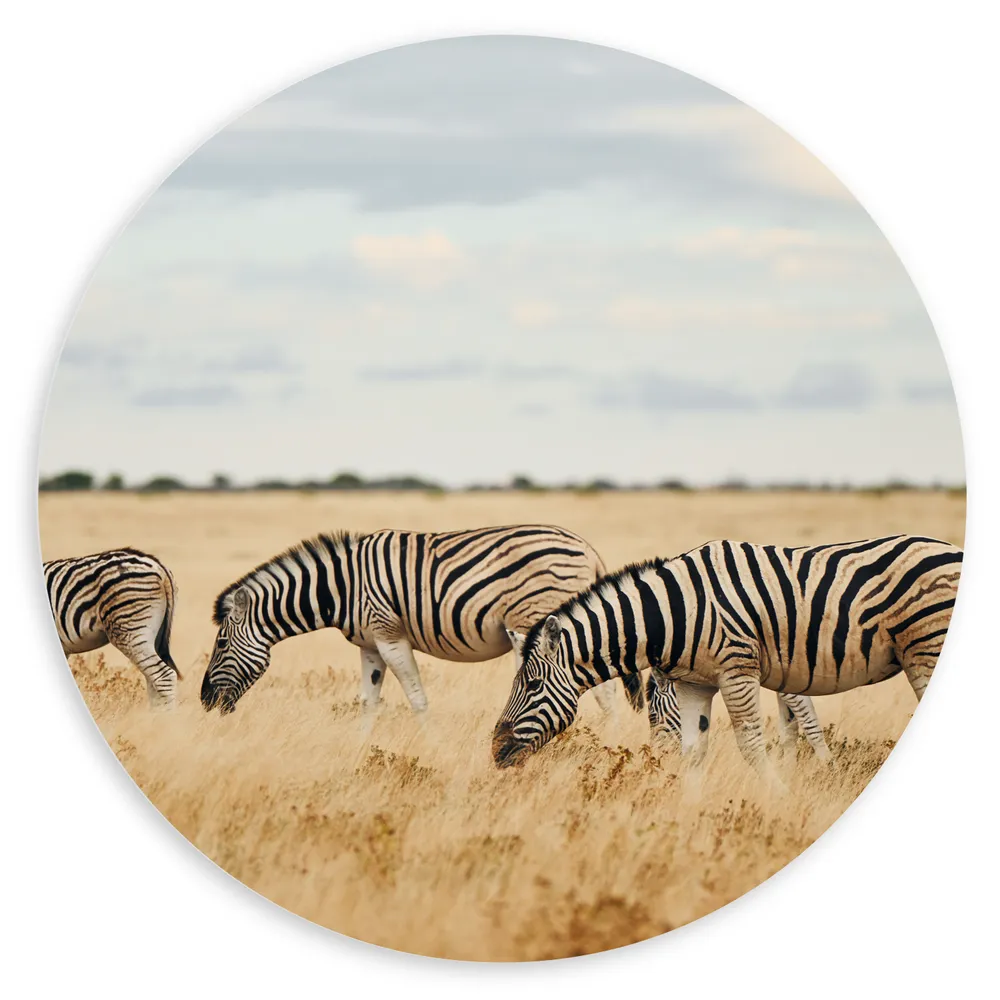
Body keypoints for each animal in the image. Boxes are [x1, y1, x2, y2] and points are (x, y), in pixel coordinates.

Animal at [200, 524, 646, 716]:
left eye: (220, 644)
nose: (205, 702)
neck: (344, 586)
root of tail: (586, 546)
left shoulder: (389, 635)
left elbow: (417, 699)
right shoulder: (369, 645)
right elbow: (368, 702)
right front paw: (359, 755)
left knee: (604, 692)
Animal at [492, 534, 961, 774]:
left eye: (532, 684)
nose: (494, 751)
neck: (677, 610)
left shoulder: (744, 669)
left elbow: (763, 739)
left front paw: (783, 792)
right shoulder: (712, 680)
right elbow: (779, 727)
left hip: (927, 648)